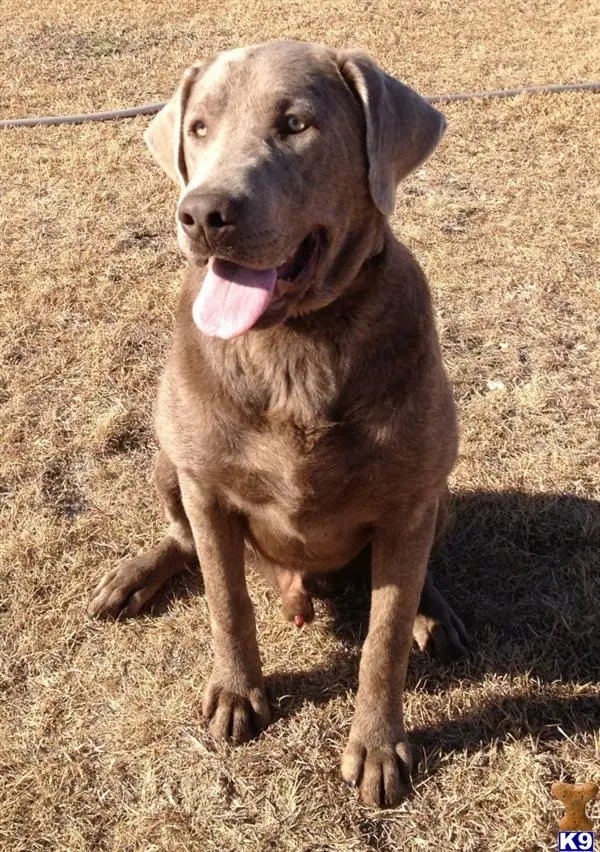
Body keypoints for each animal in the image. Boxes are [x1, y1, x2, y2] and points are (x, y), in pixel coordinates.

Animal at [89, 38, 472, 804]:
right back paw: (132, 578)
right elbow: (227, 600)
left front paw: (377, 746)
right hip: (166, 462)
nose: (203, 213)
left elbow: (382, 638)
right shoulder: (205, 485)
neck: (293, 344)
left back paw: (433, 612)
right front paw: (239, 695)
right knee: (183, 540)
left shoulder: (410, 496)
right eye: (199, 127)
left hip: (438, 490)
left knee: (418, 570)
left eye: (296, 125)